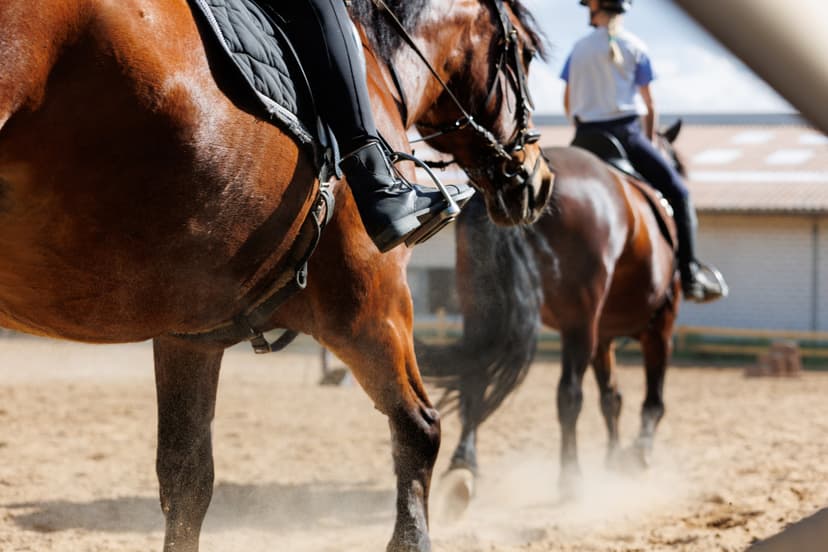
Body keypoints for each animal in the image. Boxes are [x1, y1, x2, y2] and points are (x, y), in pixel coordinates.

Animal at [0, 1, 553, 550]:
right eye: (523, 54)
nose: (539, 179)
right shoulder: (373, 305)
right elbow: (419, 431)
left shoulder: (191, 336)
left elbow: (186, 481)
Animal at [419, 121, 685, 512]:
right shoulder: (658, 327)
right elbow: (652, 401)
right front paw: (637, 456)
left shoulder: (604, 337)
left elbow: (612, 399)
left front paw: (613, 458)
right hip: (580, 323)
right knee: (569, 395)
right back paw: (571, 480)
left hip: (481, 311)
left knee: (475, 378)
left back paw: (462, 470)